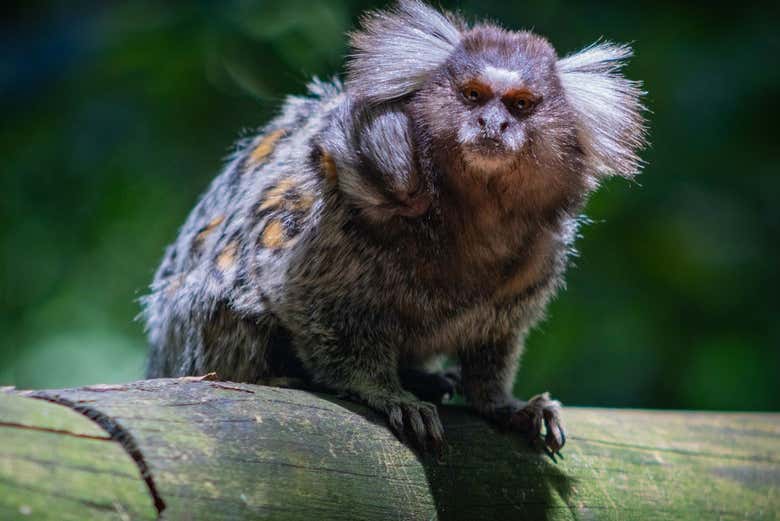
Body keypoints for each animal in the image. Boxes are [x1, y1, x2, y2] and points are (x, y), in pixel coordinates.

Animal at [142, 1, 644, 456]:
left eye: (520, 105)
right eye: (473, 95)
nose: (492, 124)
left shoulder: (539, 255)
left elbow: (494, 340)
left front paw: (502, 404)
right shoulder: (333, 223)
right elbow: (302, 298)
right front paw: (382, 391)